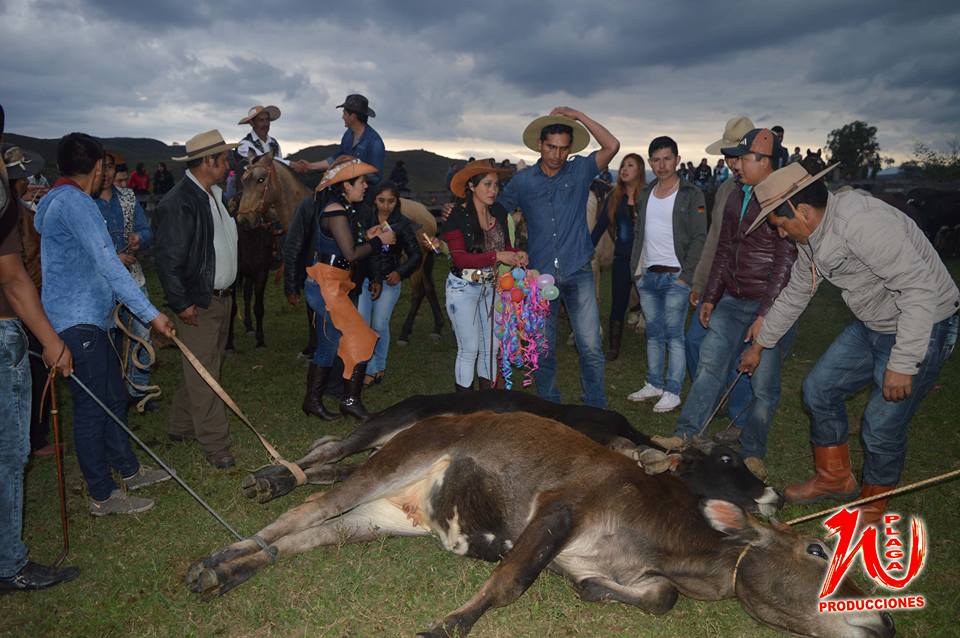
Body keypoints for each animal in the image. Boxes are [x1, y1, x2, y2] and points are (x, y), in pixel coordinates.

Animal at [193, 412, 892, 636]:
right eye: (817, 548)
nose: (883, 622)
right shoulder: (561, 506)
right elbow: (510, 582)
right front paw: (446, 626)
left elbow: (659, 597)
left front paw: (596, 589)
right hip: (391, 463)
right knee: (305, 509)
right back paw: (219, 558)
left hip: (383, 518)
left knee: (313, 534)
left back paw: (233, 571)